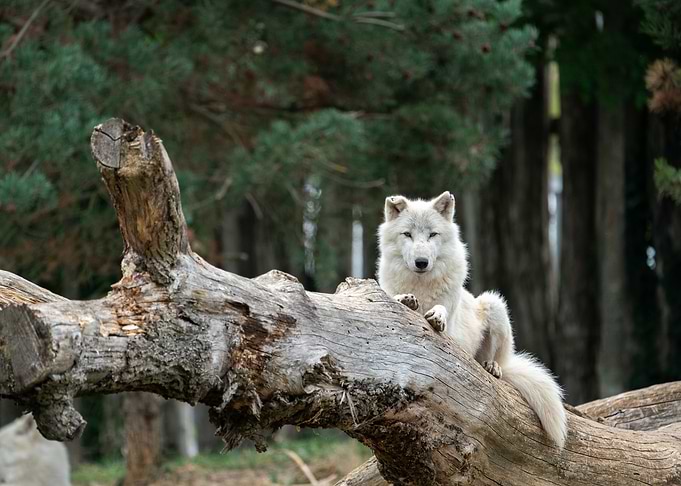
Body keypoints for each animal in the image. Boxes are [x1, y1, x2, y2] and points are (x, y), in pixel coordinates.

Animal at [377, 191, 567, 448]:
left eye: (432, 234)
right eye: (407, 234)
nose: (421, 262)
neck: (422, 286)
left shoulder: (450, 326)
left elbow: (441, 310)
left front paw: (436, 316)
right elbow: (397, 298)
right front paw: (405, 299)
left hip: (494, 303)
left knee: (497, 363)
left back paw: (492, 367)